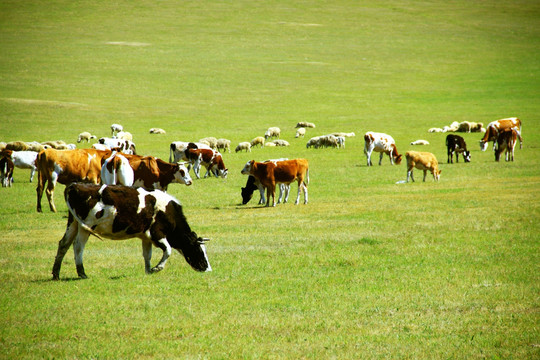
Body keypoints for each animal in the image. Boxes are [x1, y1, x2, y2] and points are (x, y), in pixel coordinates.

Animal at [50, 183, 211, 282]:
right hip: (86, 227)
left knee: (63, 244)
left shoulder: (146, 237)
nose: (208, 269)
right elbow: (168, 251)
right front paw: (157, 268)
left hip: (73, 224)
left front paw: (148, 271)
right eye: (198, 250)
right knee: (78, 247)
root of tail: (75, 185)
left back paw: (56, 274)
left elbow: (147, 255)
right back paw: (82, 273)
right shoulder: (157, 233)